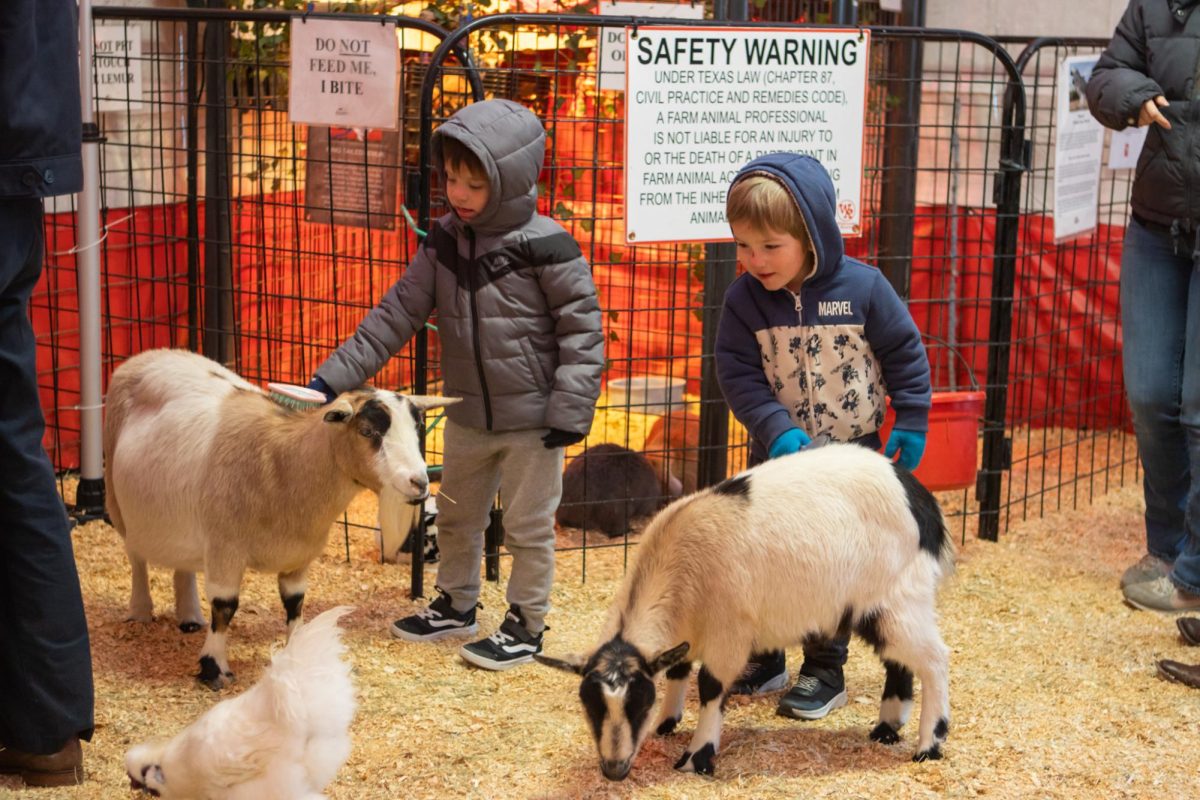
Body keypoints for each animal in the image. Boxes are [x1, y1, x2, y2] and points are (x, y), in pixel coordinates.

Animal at [540, 441, 950, 777]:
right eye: (590, 705)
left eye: (638, 702)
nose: (613, 770)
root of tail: (921, 499)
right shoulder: (685, 636)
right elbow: (678, 672)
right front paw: (666, 723)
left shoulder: (728, 635)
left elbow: (710, 687)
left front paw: (697, 757)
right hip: (876, 608)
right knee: (897, 661)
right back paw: (887, 729)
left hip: (900, 598)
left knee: (934, 660)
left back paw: (929, 743)